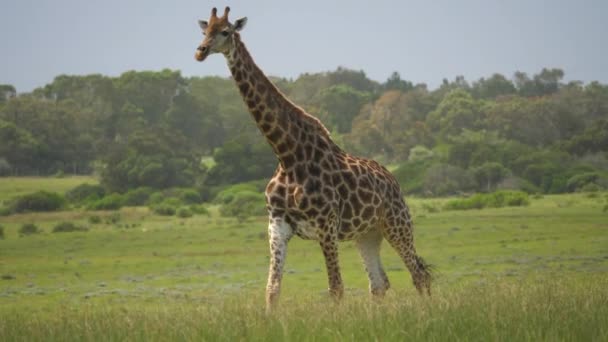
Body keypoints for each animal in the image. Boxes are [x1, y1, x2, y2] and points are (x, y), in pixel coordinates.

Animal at [196, 6, 432, 312]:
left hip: (396, 223)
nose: (200, 51)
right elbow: (272, 289)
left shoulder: (326, 226)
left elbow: (336, 289)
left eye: (225, 31)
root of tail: (393, 179)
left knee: (418, 274)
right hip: (366, 234)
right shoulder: (277, 225)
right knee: (380, 283)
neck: (288, 156)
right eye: (205, 31)